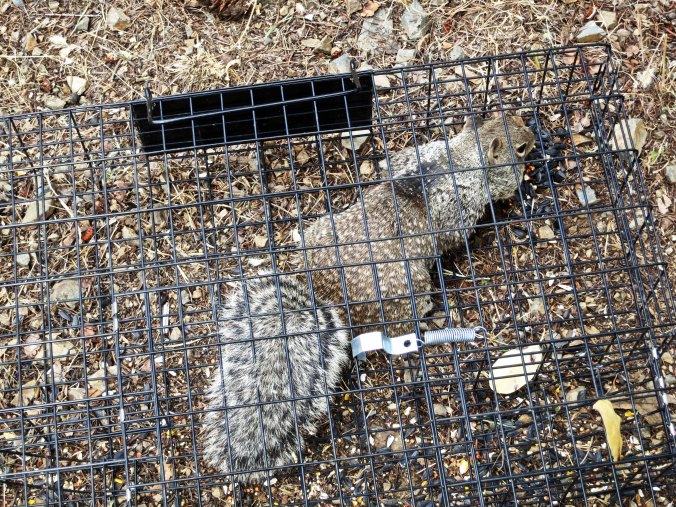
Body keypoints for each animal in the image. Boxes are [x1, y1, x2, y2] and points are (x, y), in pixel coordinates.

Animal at [203, 115, 535, 483]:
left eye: (515, 119)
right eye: (520, 148)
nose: (534, 137)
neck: (463, 154)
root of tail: (326, 295)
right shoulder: (461, 206)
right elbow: (456, 232)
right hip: (410, 290)